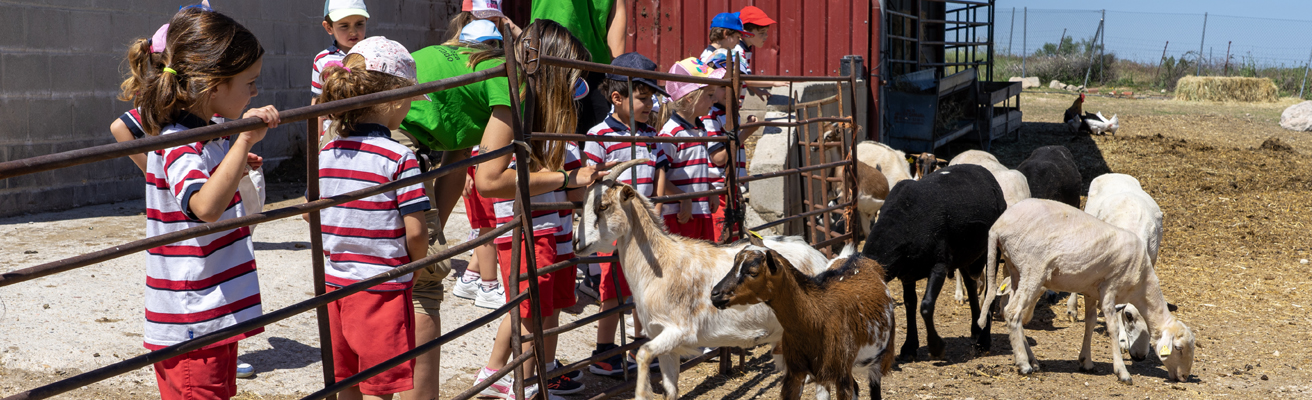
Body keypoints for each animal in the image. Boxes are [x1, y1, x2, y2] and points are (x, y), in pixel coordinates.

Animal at [713, 243, 897, 396]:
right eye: (733, 266)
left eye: (753, 272)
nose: (715, 294)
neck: (817, 317)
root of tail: (856, 257)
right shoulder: (796, 374)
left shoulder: (840, 375)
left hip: (880, 358)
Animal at [860, 163, 1002, 359]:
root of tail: (983, 170)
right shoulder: (907, 272)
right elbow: (910, 303)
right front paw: (909, 347)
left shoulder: (939, 266)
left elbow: (926, 306)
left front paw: (936, 347)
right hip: (964, 254)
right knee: (971, 285)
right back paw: (975, 329)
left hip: (992, 249)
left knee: (990, 291)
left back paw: (984, 342)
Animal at [981, 199, 1196, 382]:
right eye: (1178, 348)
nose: (1184, 377)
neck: (1141, 284)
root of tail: (998, 225)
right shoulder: (1110, 288)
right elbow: (1112, 327)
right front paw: (1122, 372)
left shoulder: (1092, 291)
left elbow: (1090, 323)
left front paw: (1086, 361)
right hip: (1033, 269)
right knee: (1013, 312)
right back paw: (1024, 364)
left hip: (1015, 269)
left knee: (1012, 312)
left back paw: (1032, 360)